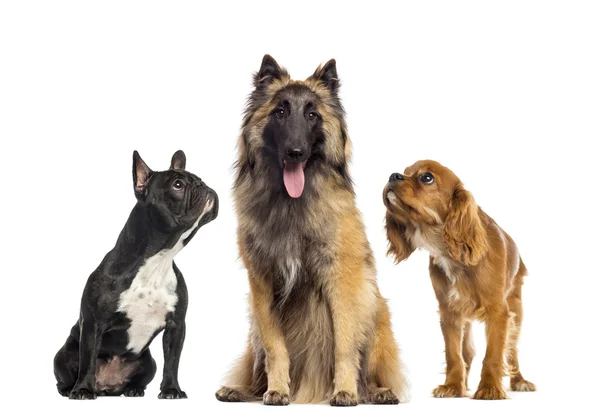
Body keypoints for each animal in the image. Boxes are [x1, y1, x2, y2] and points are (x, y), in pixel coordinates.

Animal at [214, 56, 408, 406]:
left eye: (312, 114)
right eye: (280, 112)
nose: (295, 152)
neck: (292, 206)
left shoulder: (341, 281)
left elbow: (344, 345)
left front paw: (344, 391)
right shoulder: (262, 286)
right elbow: (276, 349)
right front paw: (278, 389)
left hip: (373, 308)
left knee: (369, 374)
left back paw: (376, 392)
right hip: (253, 326)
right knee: (256, 371)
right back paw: (242, 390)